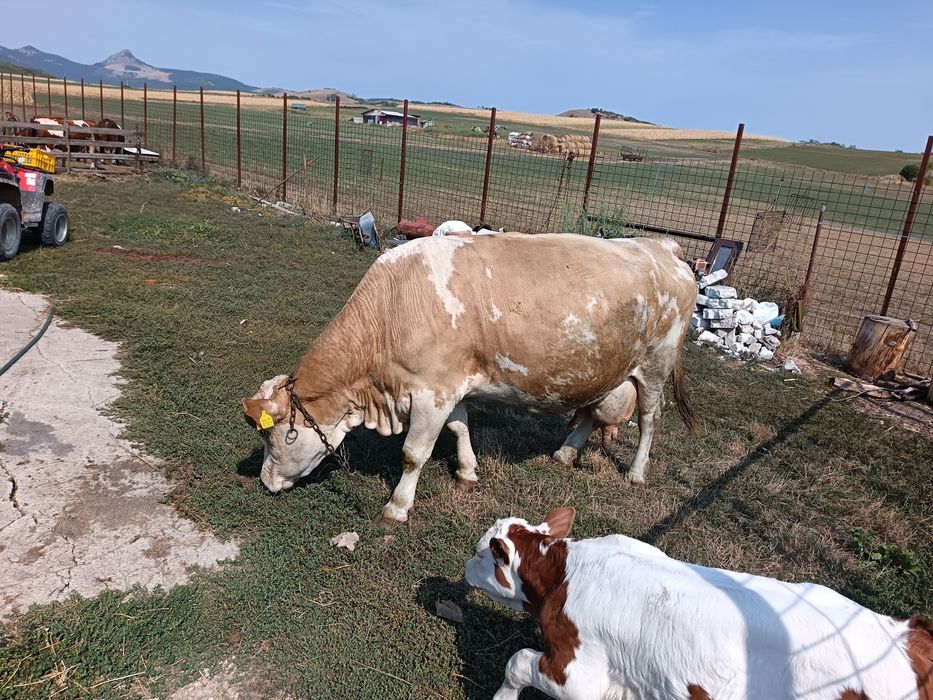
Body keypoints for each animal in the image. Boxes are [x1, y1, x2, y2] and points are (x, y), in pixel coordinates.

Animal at [242, 233, 700, 528]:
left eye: (273, 435)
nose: (265, 481)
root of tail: (661, 246)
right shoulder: (451, 384)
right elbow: (461, 426)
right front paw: (467, 470)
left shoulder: (430, 391)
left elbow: (413, 454)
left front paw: (397, 507)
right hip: (599, 369)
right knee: (588, 412)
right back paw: (565, 453)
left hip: (656, 364)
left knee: (649, 419)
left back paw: (636, 472)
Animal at [465, 508, 933, 700]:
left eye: (482, 552)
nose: (464, 566)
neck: (565, 572)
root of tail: (910, 636)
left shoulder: (579, 674)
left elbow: (517, 661)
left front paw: (502, 698)